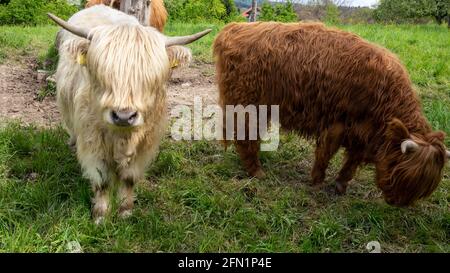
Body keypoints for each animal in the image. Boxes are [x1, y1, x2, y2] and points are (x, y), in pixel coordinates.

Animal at [49, 5, 211, 223]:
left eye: (150, 78)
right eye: (102, 74)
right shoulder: (93, 140)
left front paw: (125, 211)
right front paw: (101, 215)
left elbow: (129, 177)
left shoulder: (145, 143)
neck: (122, 137)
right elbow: (102, 179)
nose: (124, 116)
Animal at [213, 21, 448, 206]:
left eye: (421, 187)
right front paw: (316, 182)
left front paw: (340, 185)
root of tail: (234, 28)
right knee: (245, 135)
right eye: (400, 170)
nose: (396, 202)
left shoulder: (363, 135)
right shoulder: (337, 123)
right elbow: (325, 154)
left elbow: (351, 163)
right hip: (246, 104)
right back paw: (256, 171)